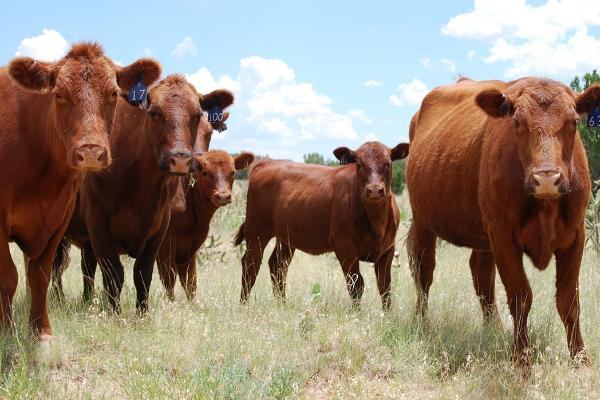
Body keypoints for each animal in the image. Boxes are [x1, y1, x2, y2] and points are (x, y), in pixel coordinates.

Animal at [0, 43, 162, 338]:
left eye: (113, 93)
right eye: (59, 94)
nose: (91, 152)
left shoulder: (58, 219)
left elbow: (40, 276)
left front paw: (41, 332)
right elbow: (8, 277)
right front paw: (7, 331)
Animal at [233, 141, 408, 310]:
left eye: (388, 163)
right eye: (358, 164)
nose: (374, 190)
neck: (376, 221)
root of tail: (265, 163)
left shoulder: (388, 249)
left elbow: (385, 288)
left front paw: (387, 316)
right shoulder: (345, 247)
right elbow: (356, 285)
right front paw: (356, 315)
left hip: (286, 238)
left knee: (278, 265)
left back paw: (282, 304)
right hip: (256, 231)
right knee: (251, 265)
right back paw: (243, 305)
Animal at [406, 76, 596, 364]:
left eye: (574, 121)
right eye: (517, 122)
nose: (546, 178)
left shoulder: (575, 236)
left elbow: (568, 301)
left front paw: (580, 359)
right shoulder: (503, 236)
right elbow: (520, 297)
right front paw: (522, 359)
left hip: (482, 233)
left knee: (481, 274)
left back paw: (493, 329)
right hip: (422, 220)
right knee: (424, 270)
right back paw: (421, 323)